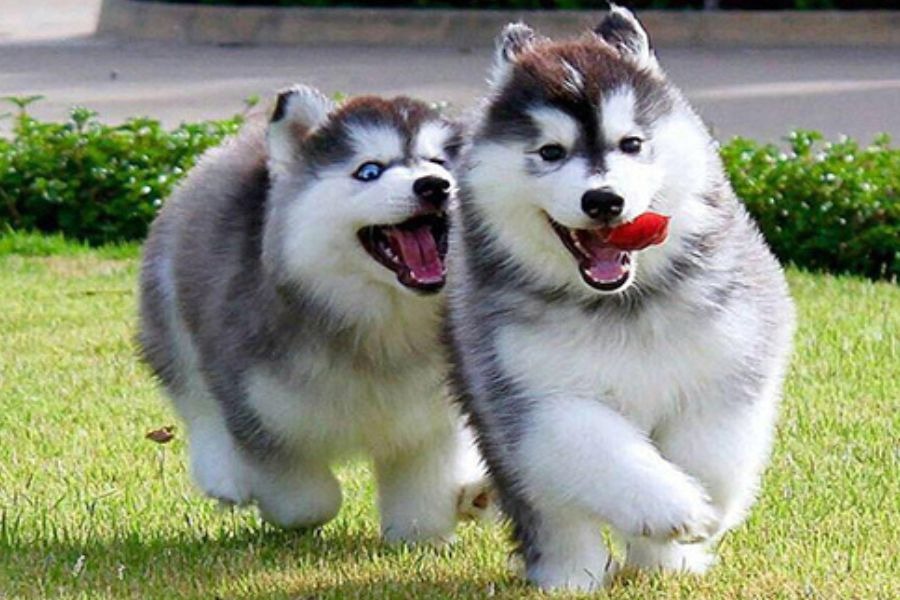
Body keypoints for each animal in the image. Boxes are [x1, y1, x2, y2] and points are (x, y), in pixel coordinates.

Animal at [138, 86, 490, 543]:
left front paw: (421, 531)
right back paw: (224, 476)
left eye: (440, 163)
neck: (381, 322)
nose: (435, 186)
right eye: (369, 171)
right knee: (197, 402)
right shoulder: (259, 410)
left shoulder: (429, 418)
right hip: (173, 321)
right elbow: (309, 500)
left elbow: (424, 492)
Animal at [446, 6, 795, 590]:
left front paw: (704, 515)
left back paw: (666, 565)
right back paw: (570, 576)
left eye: (631, 143)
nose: (604, 200)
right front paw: (673, 506)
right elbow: (604, 450)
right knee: (554, 512)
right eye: (550, 152)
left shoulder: (729, 359)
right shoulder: (530, 394)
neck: (623, 304)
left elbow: (713, 452)